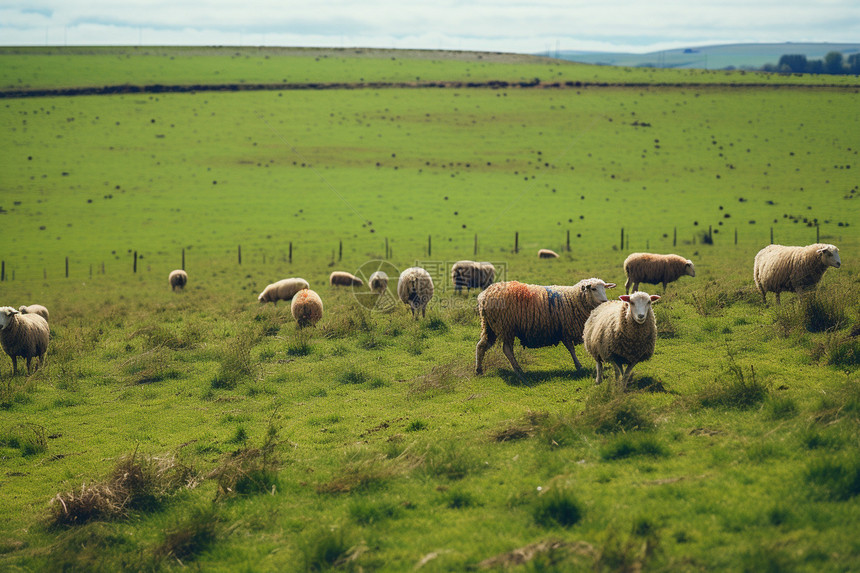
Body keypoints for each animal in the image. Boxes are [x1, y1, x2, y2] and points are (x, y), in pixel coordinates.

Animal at [474, 278, 616, 376]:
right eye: (593, 289)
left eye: (604, 288)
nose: (605, 301)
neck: (573, 299)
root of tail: (484, 296)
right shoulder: (565, 328)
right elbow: (571, 349)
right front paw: (579, 365)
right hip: (506, 325)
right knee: (507, 350)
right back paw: (518, 370)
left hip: (489, 325)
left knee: (482, 345)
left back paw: (479, 370)